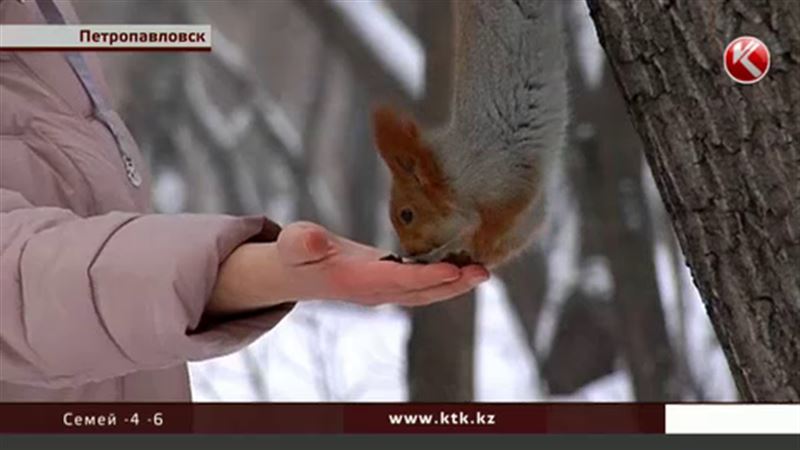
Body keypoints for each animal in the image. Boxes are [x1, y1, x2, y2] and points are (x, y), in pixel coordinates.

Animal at [374, 0, 568, 268]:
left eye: (407, 215)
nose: (410, 251)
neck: (454, 172)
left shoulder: (502, 180)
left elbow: (478, 229)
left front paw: (435, 254)